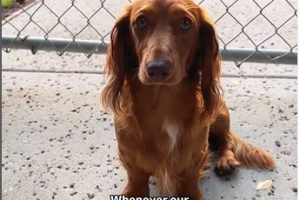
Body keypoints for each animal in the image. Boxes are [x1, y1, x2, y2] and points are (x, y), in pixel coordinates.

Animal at [102, 0, 276, 198]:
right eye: (141, 21)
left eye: (185, 23)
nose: (158, 69)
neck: (163, 103)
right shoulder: (131, 160)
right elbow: (136, 180)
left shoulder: (194, 159)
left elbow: (190, 180)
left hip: (219, 112)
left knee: (226, 139)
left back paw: (226, 160)